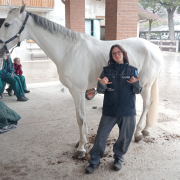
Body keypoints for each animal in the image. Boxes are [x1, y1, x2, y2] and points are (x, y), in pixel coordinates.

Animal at [0, 5, 163, 158]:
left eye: (7, 24)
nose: (1, 50)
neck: (68, 50)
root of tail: (155, 48)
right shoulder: (75, 92)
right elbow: (81, 117)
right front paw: (80, 143)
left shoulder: (78, 90)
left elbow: (81, 118)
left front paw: (81, 149)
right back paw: (145, 130)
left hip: (144, 85)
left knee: (147, 104)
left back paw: (138, 133)